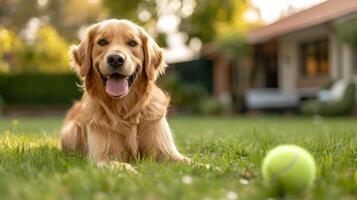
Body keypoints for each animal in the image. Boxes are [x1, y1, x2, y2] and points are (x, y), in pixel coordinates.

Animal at [60, 18, 189, 170]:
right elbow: (124, 166)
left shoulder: (167, 152)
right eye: (102, 42)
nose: (116, 59)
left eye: (132, 43)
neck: (124, 110)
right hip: (71, 131)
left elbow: (192, 162)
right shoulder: (101, 157)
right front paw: (133, 171)